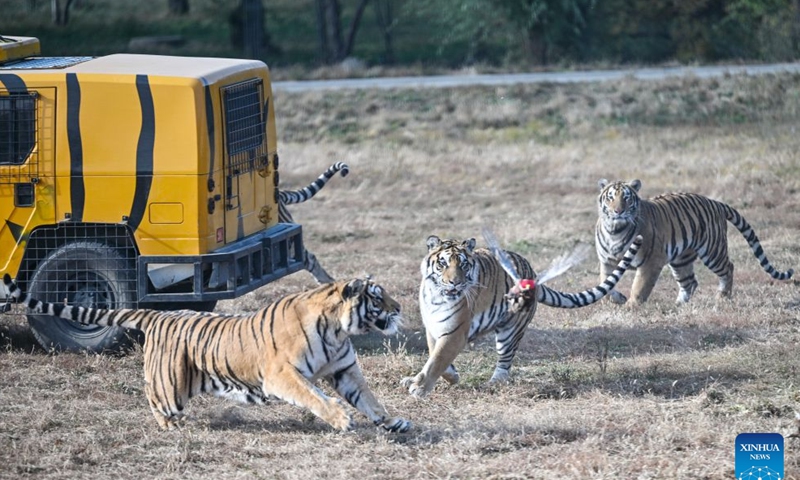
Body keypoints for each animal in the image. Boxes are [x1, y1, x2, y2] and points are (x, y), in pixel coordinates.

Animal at [2, 273, 410, 433]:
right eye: (377, 297)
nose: (400, 307)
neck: (339, 330)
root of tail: (158, 314)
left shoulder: (345, 371)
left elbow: (370, 400)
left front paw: (393, 423)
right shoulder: (282, 375)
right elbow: (316, 397)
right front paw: (340, 419)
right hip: (170, 386)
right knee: (152, 396)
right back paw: (170, 426)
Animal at [400, 233, 643, 397]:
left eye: (464, 265)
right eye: (442, 263)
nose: (455, 283)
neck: (436, 296)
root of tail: (532, 275)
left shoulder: (455, 332)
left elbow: (437, 359)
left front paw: (419, 388)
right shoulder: (434, 327)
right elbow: (435, 356)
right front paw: (446, 377)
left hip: (510, 331)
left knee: (505, 361)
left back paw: (494, 382)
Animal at [595, 179, 794, 305]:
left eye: (626, 198)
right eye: (610, 197)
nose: (618, 211)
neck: (615, 230)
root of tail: (716, 202)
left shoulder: (651, 262)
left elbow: (639, 288)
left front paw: (631, 306)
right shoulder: (607, 262)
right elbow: (605, 283)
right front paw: (617, 299)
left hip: (713, 251)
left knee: (728, 268)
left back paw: (722, 297)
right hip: (680, 259)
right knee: (689, 281)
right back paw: (679, 305)